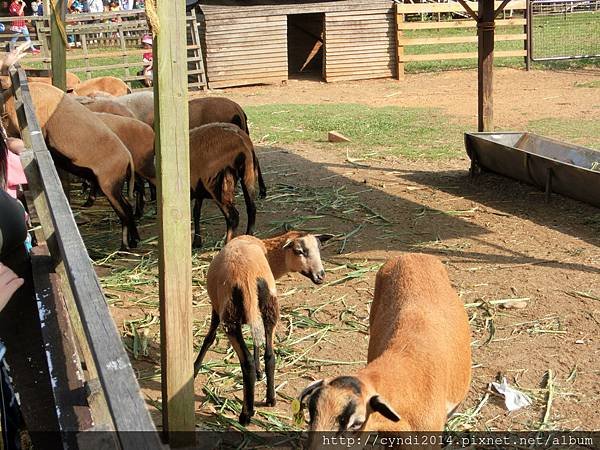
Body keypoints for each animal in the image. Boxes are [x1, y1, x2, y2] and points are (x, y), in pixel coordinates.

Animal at [2, 81, 140, 250]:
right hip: (114, 184)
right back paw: (133, 242)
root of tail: (128, 157)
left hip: (110, 184)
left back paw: (125, 246)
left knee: (124, 211)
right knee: (126, 208)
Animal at [195, 232, 332, 426]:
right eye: (299, 251)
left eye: (319, 249)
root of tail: (248, 277)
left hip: (230, 318)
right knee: (271, 355)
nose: (320, 275)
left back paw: (246, 414)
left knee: (247, 364)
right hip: (270, 308)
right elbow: (256, 342)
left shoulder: (216, 307)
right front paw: (261, 373)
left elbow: (209, 338)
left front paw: (194, 368)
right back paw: (270, 398)